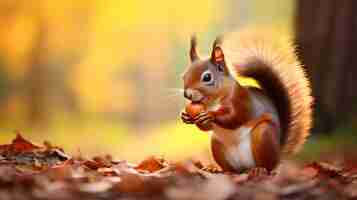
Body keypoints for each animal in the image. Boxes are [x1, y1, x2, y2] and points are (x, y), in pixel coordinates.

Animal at [181, 29, 312, 172]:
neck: (213, 102)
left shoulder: (241, 100)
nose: (187, 94)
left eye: (207, 77)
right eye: (184, 76)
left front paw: (211, 115)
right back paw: (218, 169)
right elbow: (206, 127)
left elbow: (235, 118)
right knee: (230, 169)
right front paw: (186, 116)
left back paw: (259, 169)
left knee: (268, 166)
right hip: (216, 144)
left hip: (263, 135)